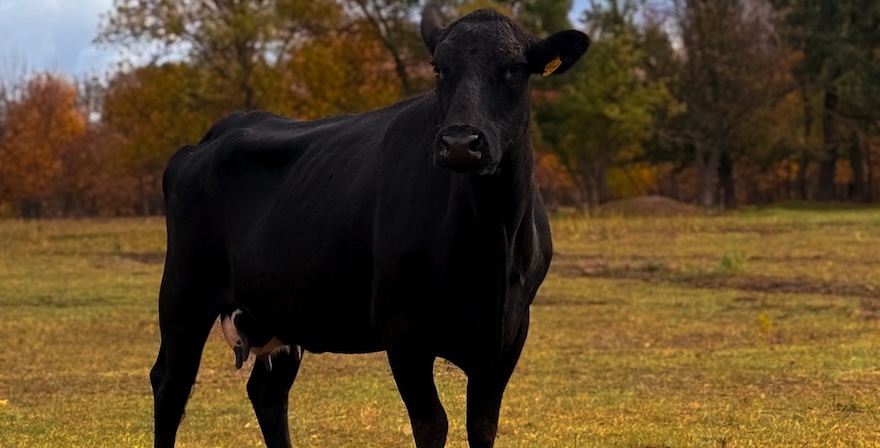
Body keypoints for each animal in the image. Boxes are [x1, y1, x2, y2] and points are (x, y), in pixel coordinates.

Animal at [151, 5, 589, 448]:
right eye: (438, 68)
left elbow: (482, 426)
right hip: (184, 293)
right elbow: (432, 425)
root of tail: (221, 129)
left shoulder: (510, 333)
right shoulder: (402, 328)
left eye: (515, 67)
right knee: (170, 383)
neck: (492, 240)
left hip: (279, 309)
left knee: (267, 392)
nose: (460, 143)